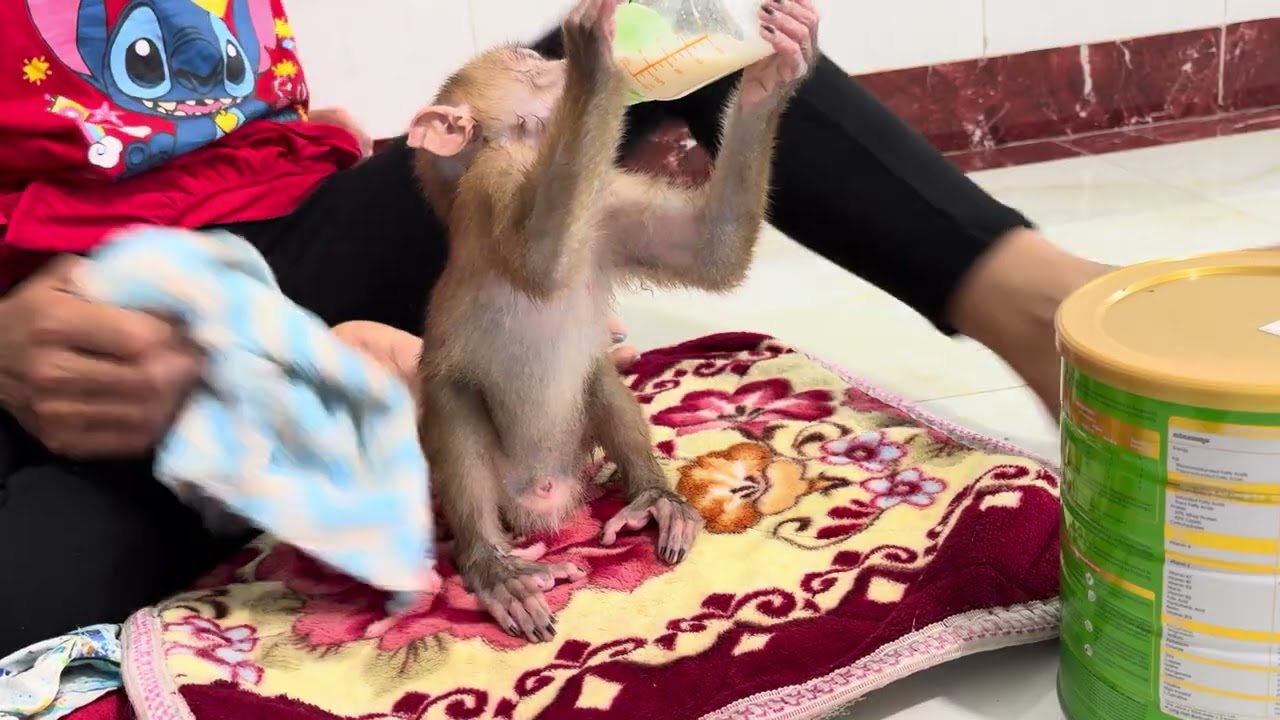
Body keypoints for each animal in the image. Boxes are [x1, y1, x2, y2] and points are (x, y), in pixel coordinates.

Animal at [408, 0, 820, 643]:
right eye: (532, 66)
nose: (555, 61)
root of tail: (544, 505)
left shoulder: (608, 205)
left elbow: (711, 252)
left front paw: (775, 70)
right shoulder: (492, 180)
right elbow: (539, 259)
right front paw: (597, 59)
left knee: (597, 374)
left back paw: (652, 498)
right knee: (452, 399)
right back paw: (494, 568)